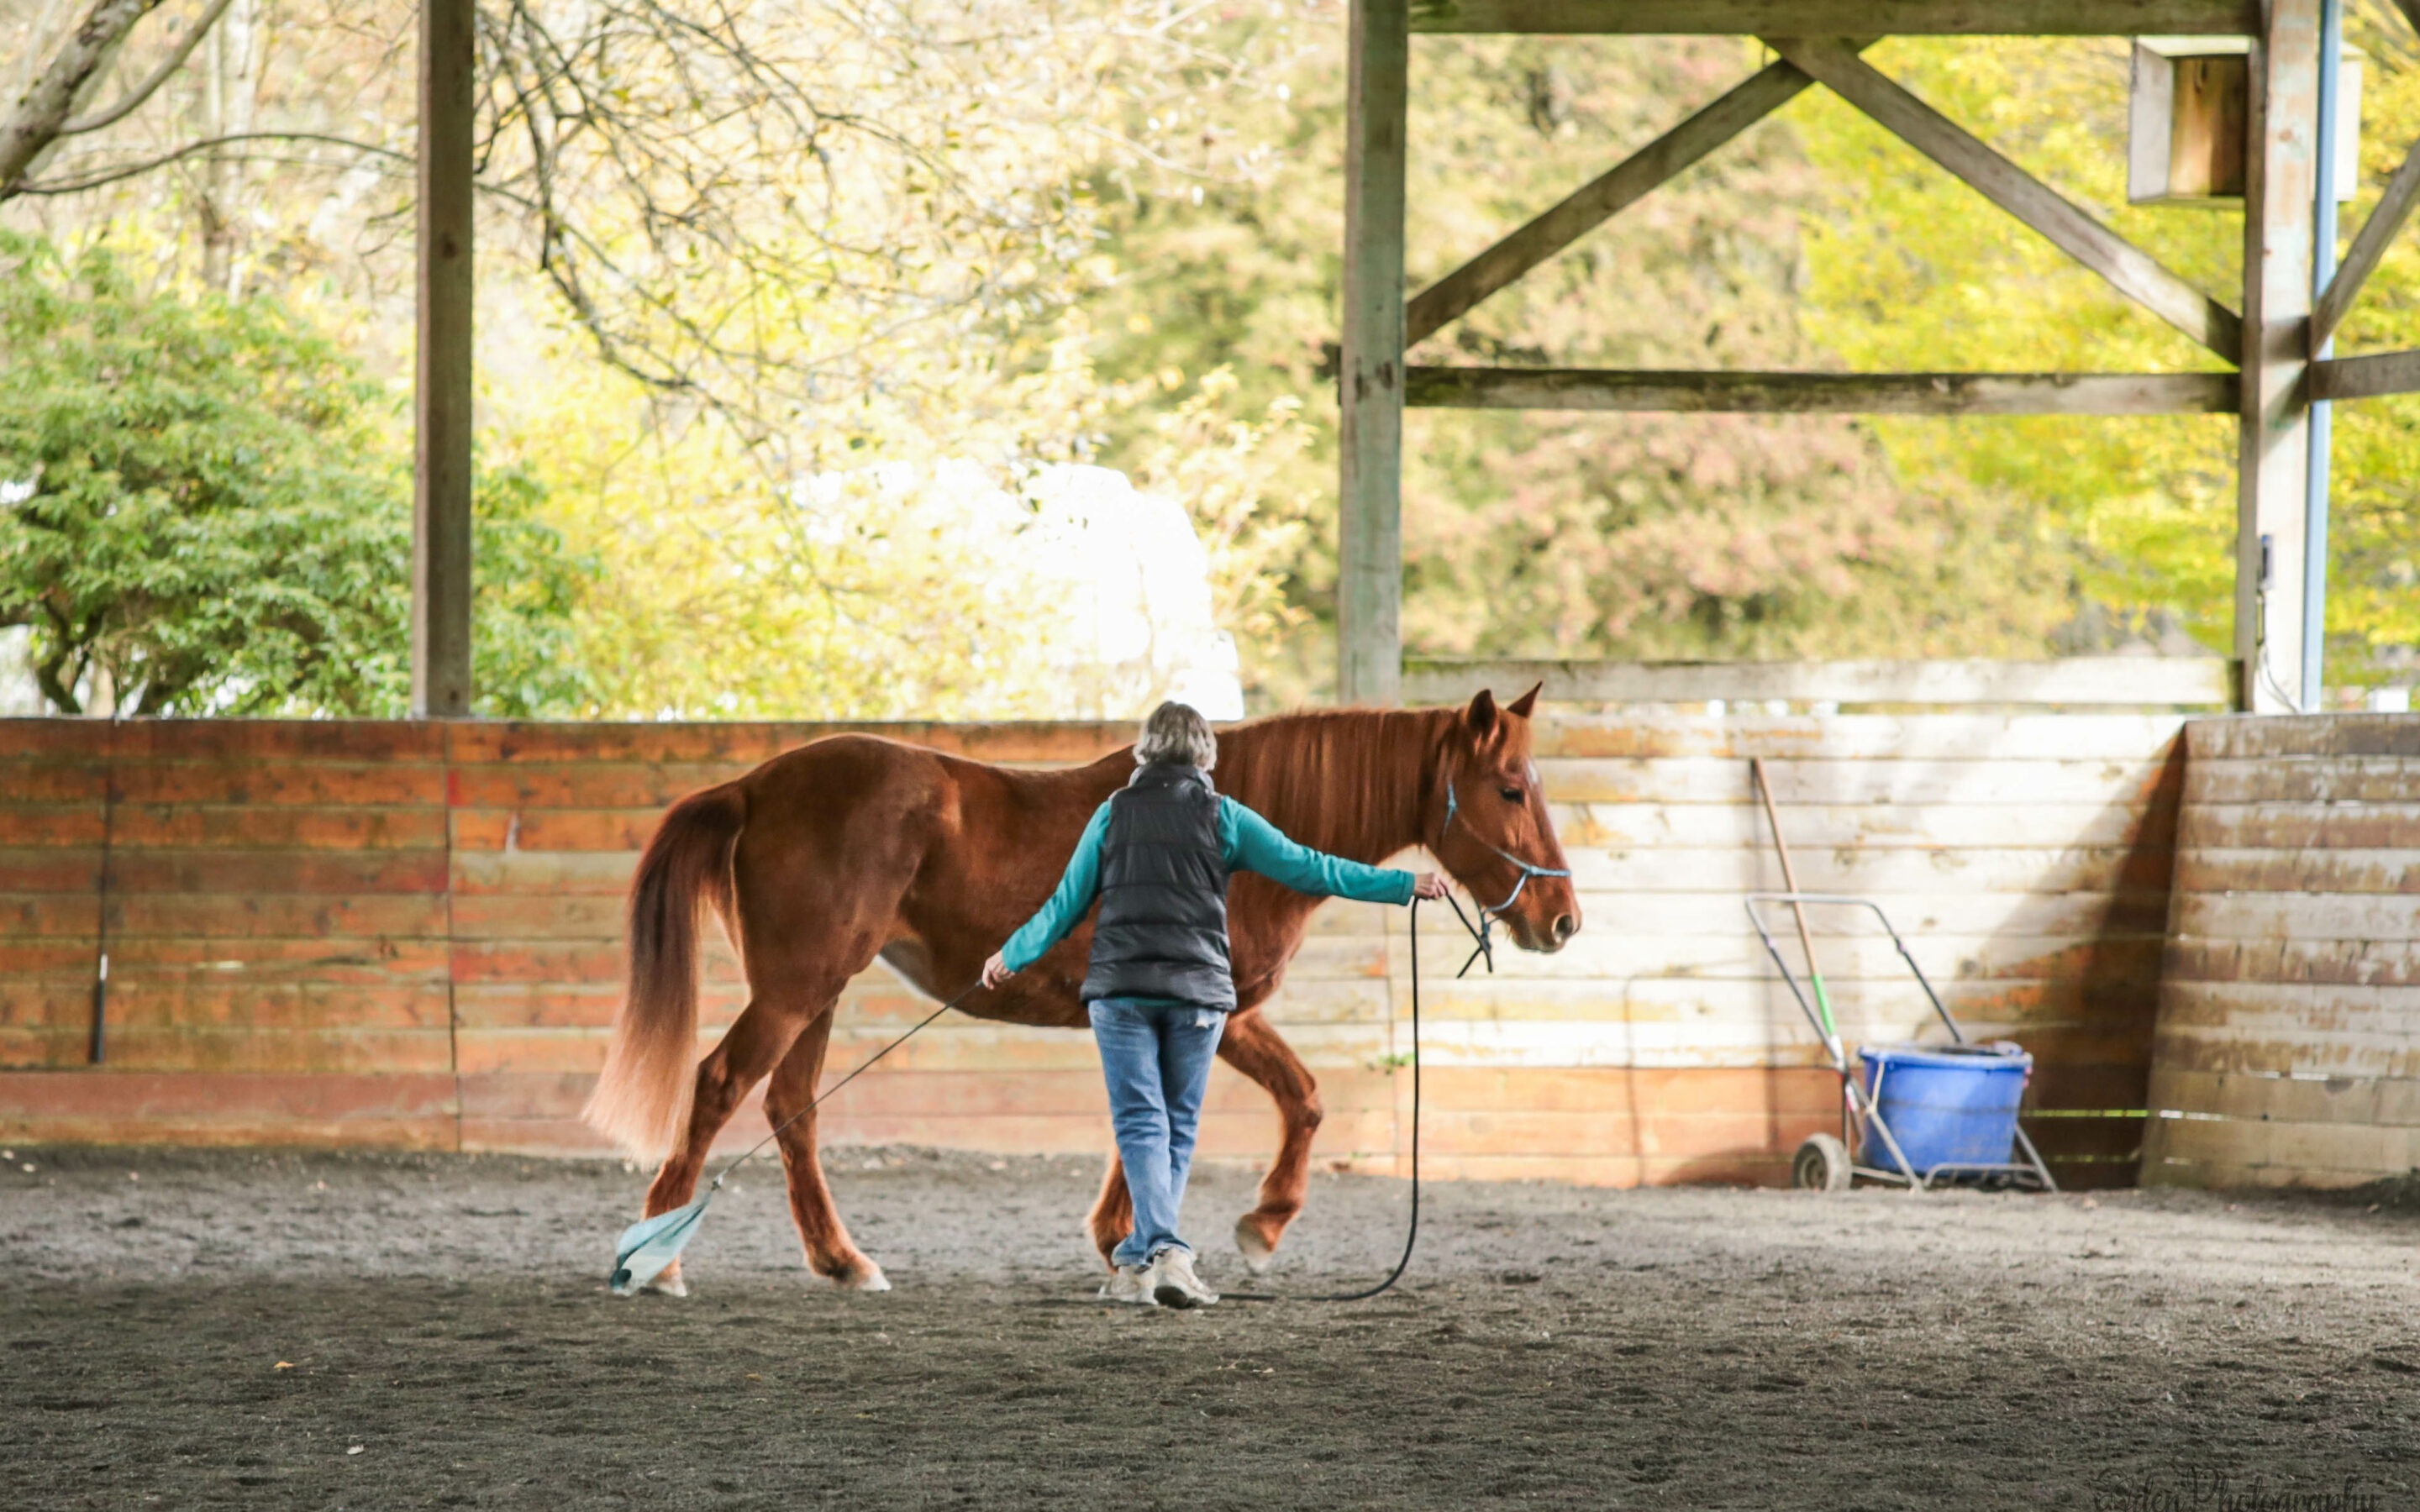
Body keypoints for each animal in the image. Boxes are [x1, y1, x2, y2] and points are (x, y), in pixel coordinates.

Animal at [576, 682, 1577, 1287]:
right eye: (1510, 786)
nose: (1561, 918)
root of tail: (754, 785)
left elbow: (1155, 1120)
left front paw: (1122, 1243)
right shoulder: (1219, 1012)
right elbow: (1298, 1099)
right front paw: (1259, 1225)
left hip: (814, 993)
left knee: (791, 1109)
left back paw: (843, 1262)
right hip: (795, 989)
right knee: (719, 1086)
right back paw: (657, 1259)